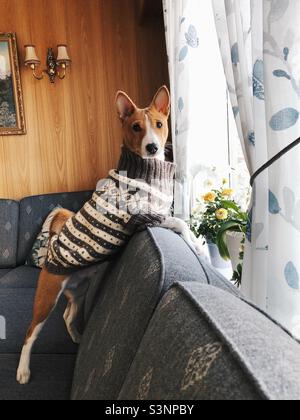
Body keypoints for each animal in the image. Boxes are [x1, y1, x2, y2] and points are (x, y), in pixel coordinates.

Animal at [15, 85, 199, 384]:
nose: (152, 147)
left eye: (159, 124)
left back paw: (77, 336)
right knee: (30, 334)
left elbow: (179, 220)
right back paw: (23, 370)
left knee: (67, 315)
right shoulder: (142, 216)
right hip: (46, 299)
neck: (143, 170)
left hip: (79, 291)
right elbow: (180, 223)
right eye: (136, 127)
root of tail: (51, 249)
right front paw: (196, 243)